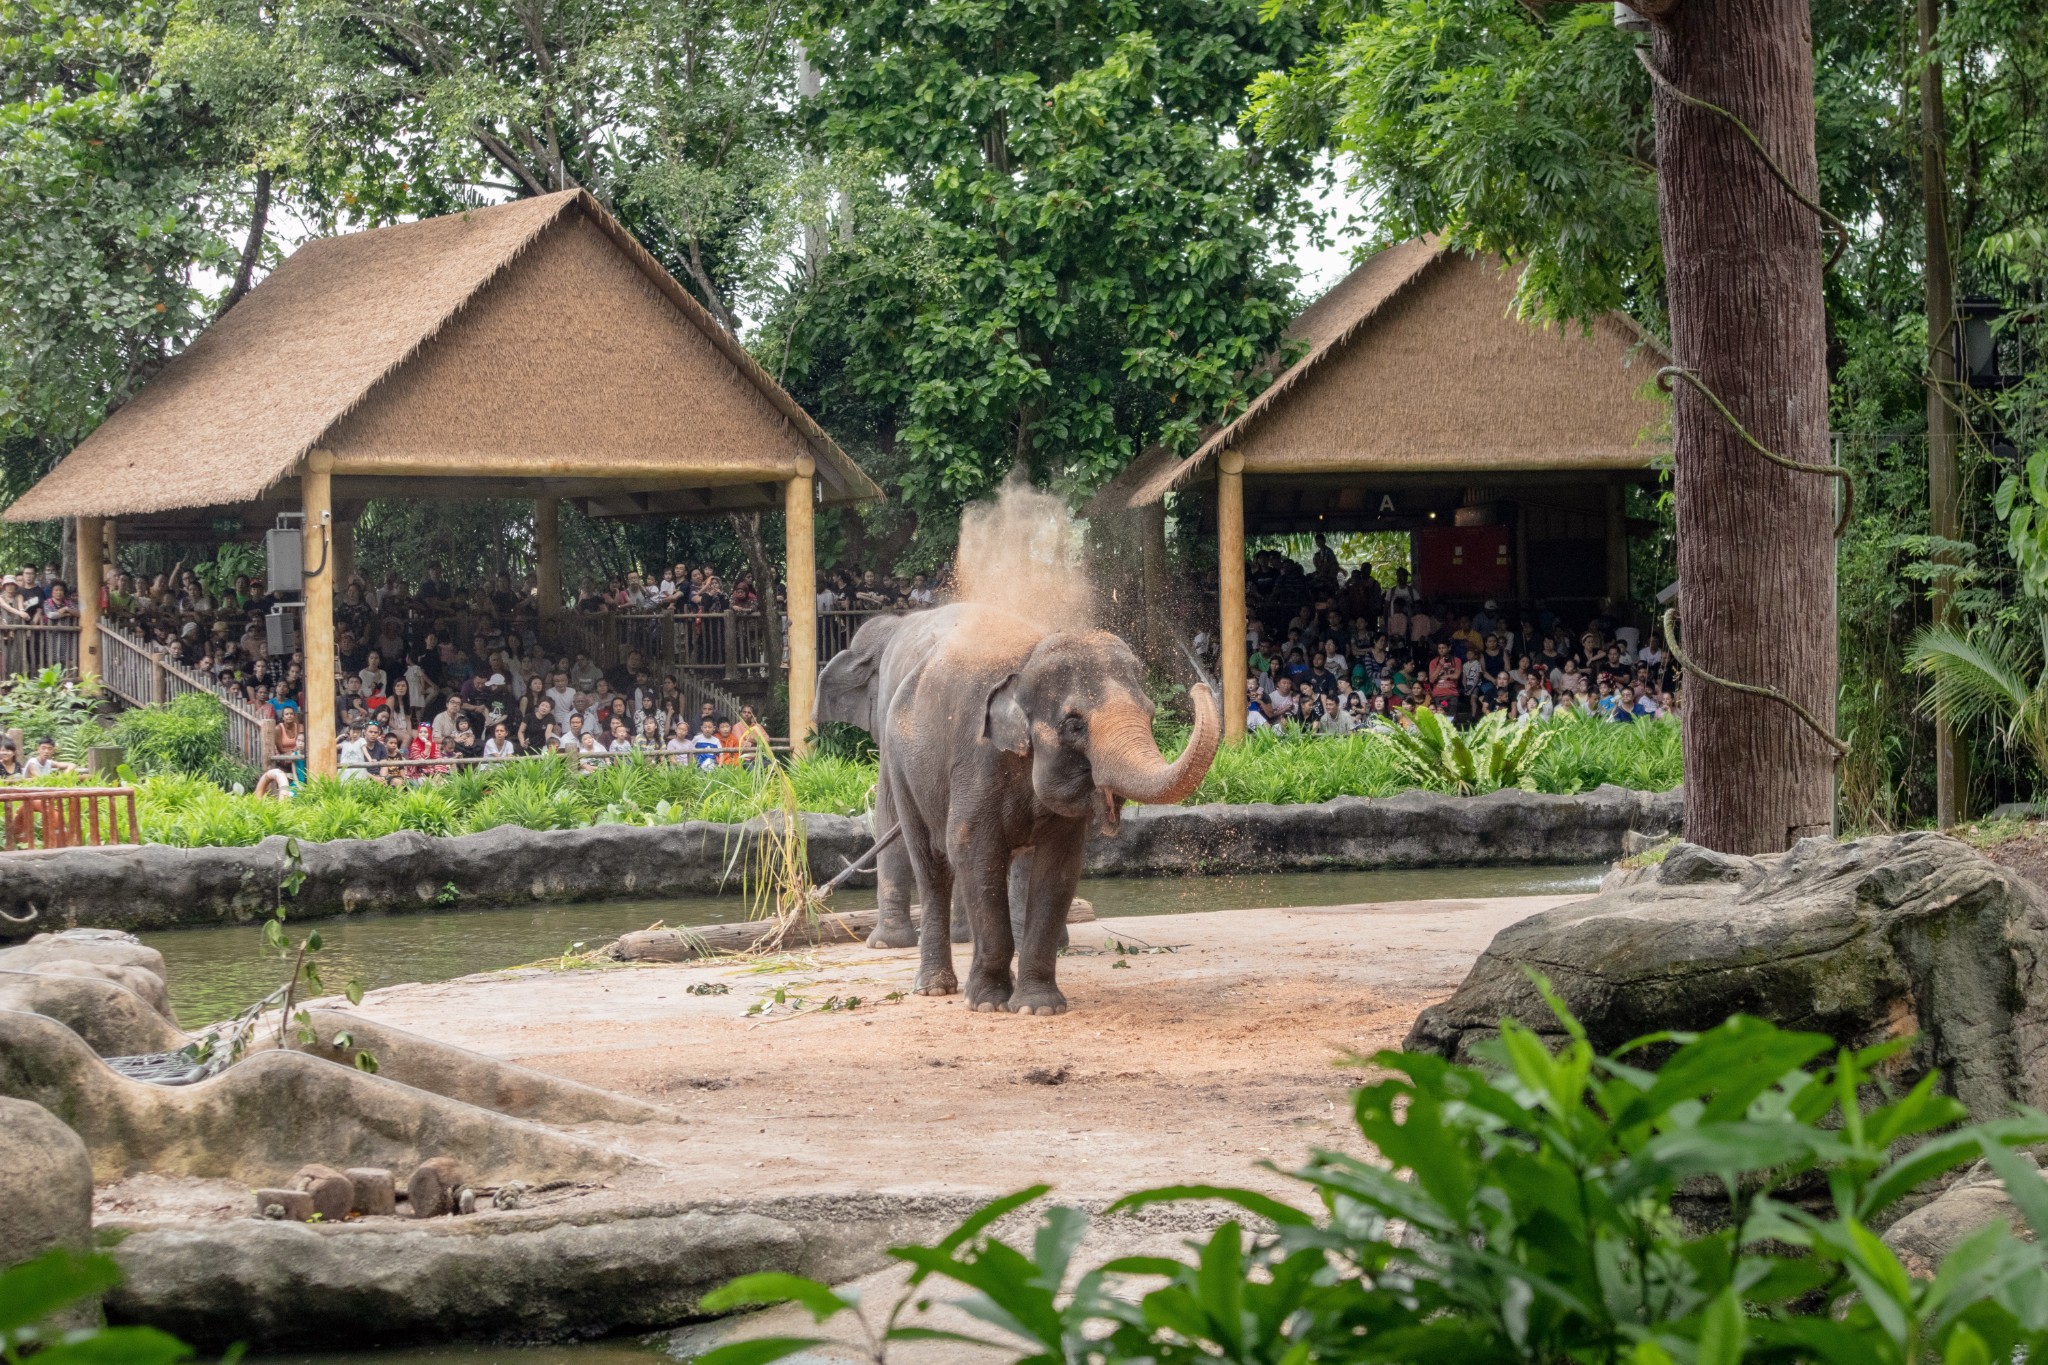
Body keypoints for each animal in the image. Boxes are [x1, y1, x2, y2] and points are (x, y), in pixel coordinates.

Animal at [811, 605, 1212, 1015]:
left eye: (1150, 713)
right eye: (1074, 725)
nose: (1200, 688)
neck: (1027, 663)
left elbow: (1058, 868)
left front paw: (1038, 1008)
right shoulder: (977, 762)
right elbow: (974, 853)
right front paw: (988, 1004)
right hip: (903, 764)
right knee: (931, 864)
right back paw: (934, 987)